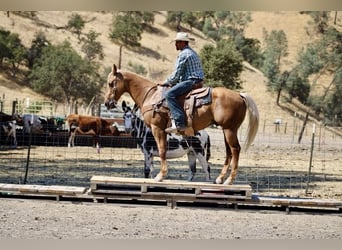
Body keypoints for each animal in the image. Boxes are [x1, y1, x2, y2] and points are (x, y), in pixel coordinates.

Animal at [105, 64, 260, 186]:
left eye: (111, 83)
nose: (107, 103)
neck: (151, 96)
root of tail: (239, 95)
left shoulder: (157, 128)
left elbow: (162, 151)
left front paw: (161, 176)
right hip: (227, 130)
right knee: (229, 152)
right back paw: (220, 179)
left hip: (228, 130)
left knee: (235, 150)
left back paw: (229, 180)